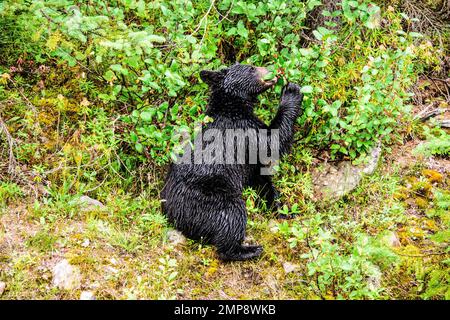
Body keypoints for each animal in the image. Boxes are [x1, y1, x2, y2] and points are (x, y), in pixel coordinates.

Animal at [160, 62, 304, 260]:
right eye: (251, 67)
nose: (272, 70)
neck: (233, 106)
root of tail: (172, 214)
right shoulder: (243, 131)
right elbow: (272, 141)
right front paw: (291, 91)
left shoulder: (248, 162)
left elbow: (262, 180)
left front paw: (281, 210)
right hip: (210, 197)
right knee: (231, 215)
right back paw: (248, 250)